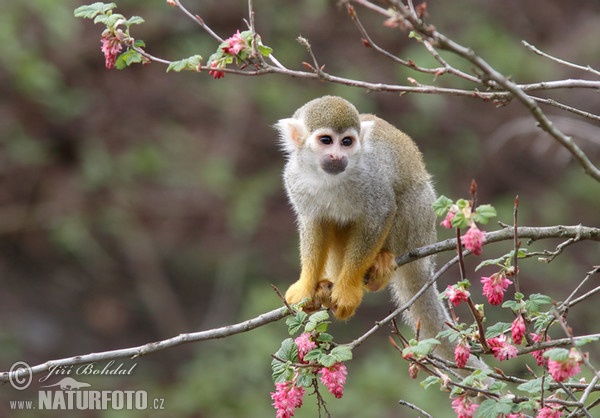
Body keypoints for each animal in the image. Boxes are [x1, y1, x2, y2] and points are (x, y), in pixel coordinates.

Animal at [276, 97, 450, 342]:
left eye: (347, 142)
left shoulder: (371, 176)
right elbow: (314, 223)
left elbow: (381, 212)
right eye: (326, 140)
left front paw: (347, 289)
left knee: (406, 199)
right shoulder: (293, 177)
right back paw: (326, 285)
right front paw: (307, 286)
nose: (338, 156)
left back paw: (382, 263)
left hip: (422, 225)